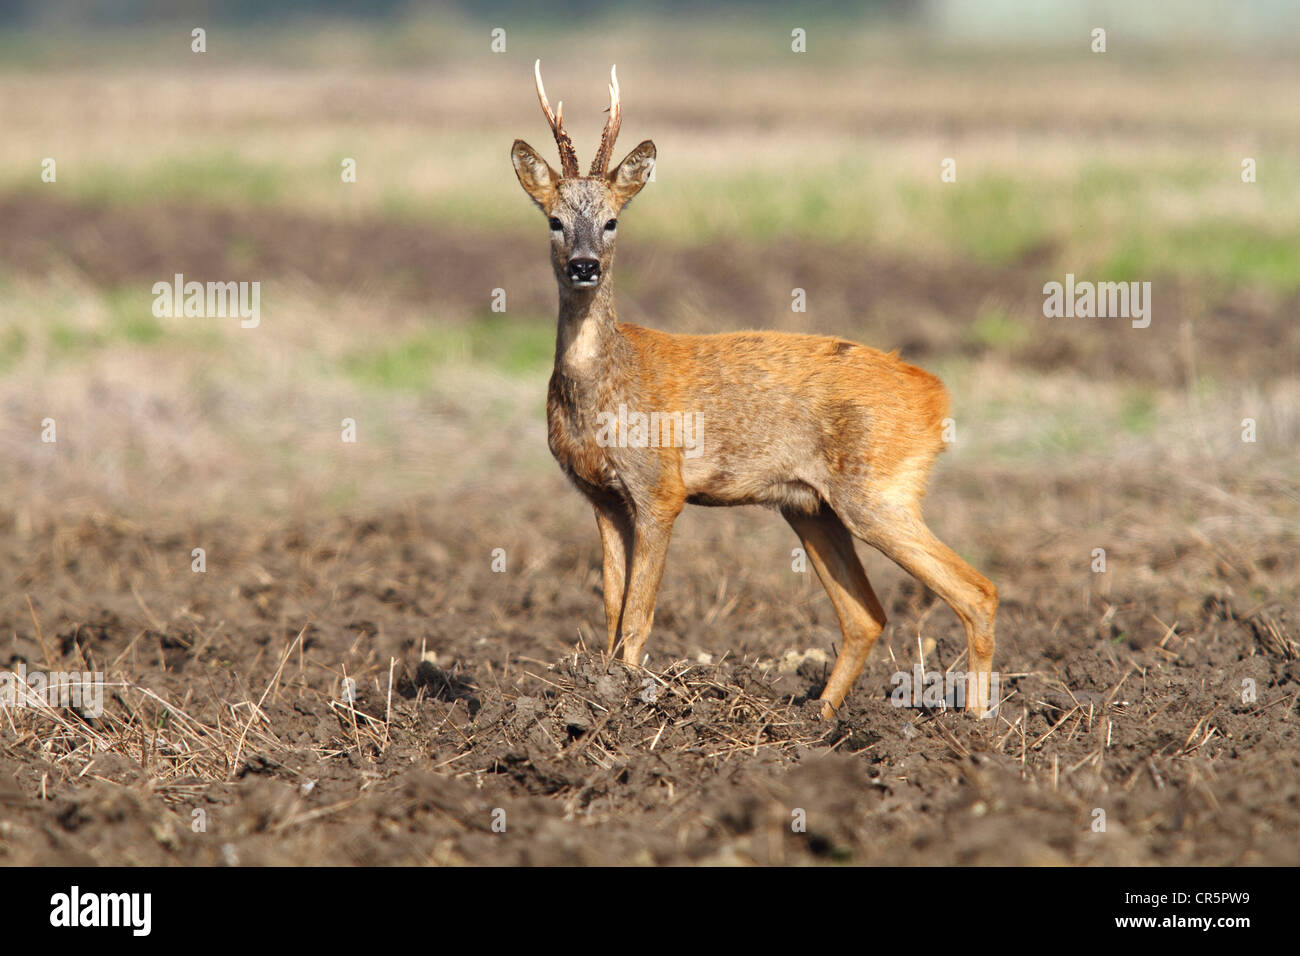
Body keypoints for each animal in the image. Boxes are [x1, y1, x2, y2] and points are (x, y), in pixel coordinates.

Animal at [512, 61, 998, 717]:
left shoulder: (660, 488)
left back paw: (975, 725)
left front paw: (627, 707)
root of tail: (936, 395)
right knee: (867, 616)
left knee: (977, 590)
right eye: (555, 220)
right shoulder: (601, 496)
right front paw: (601, 693)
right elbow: (611, 610)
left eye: (612, 220)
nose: (585, 265)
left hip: (880, 490)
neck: (604, 389)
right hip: (810, 506)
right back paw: (818, 721)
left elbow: (638, 616)